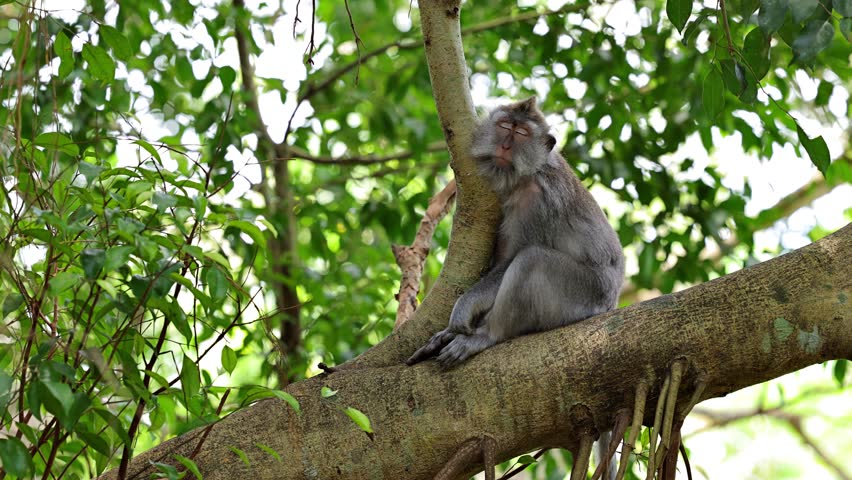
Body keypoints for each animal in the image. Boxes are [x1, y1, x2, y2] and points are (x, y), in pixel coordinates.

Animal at [406, 97, 625, 369]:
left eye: (521, 133)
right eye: (504, 126)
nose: (505, 146)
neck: (530, 172)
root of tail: (612, 302)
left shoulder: (536, 201)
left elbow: (510, 259)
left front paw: (465, 307)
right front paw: (447, 332)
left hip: (584, 295)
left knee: (532, 260)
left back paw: (488, 335)